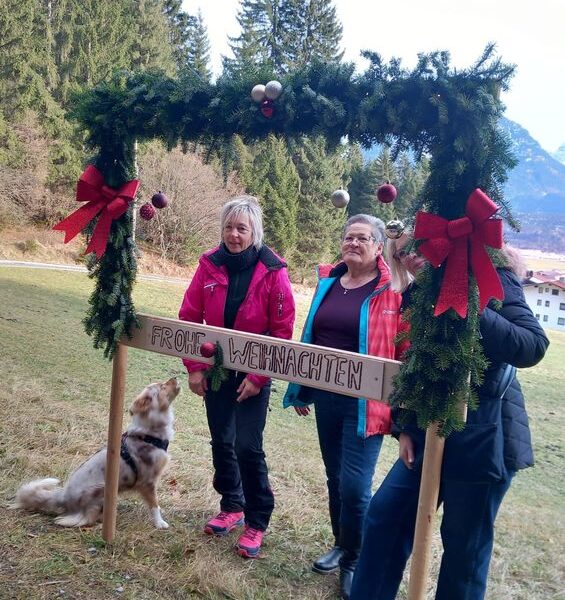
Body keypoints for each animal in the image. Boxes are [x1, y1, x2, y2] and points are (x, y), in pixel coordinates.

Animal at [13, 377, 180, 529]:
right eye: (162, 386)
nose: (176, 377)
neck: (149, 434)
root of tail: (63, 496)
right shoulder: (147, 482)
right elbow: (154, 505)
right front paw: (160, 523)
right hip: (101, 489)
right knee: (81, 518)